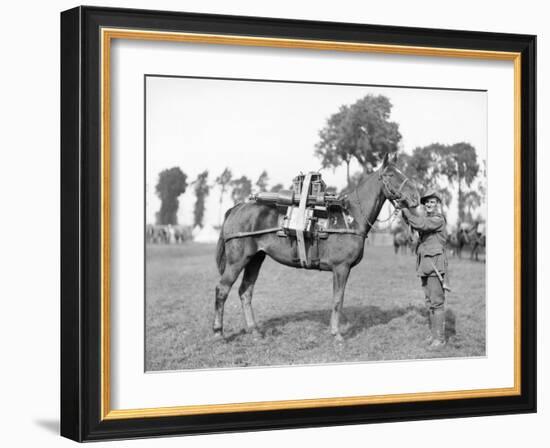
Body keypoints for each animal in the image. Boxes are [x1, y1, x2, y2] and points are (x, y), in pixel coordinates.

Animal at [213, 152, 420, 342]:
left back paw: (254, 331)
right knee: (222, 290)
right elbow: (338, 299)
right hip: (237, 261)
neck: (350, 217)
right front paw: (337, 334)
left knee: (245, 292)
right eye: (391, 175)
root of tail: (237, 208)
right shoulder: (341, 268)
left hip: (255, 259)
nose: (416, 197)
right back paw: (218, 333)